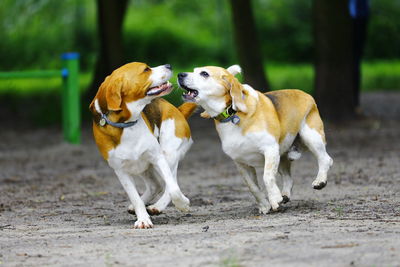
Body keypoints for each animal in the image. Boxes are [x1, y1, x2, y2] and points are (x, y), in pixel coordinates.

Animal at [90, 62, 198, 228]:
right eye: (146, 69)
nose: (169, 65)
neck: (126, 125)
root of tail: (177, 110)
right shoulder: (120, 171)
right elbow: (135, 198)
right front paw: (142, 219)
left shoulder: (158, 157)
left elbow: (173, 188)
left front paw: (183, 204)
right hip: (142, 166)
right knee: (156, 185)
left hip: (169, 155)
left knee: (170, 184)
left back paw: (158, 206)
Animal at [177, 66, 332, 215]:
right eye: (194, 70)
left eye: (204, 73)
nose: (180, 74)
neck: (232, 113)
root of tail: (304, 93)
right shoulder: (241, 162)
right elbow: (253, 188)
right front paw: (265, 205)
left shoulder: (269, 149)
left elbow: (267, 177)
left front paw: (274, 199)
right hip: (281, 155)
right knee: (288, 178)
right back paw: (285, 195)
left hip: (311, 137)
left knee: (325, 159)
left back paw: (320, 181)